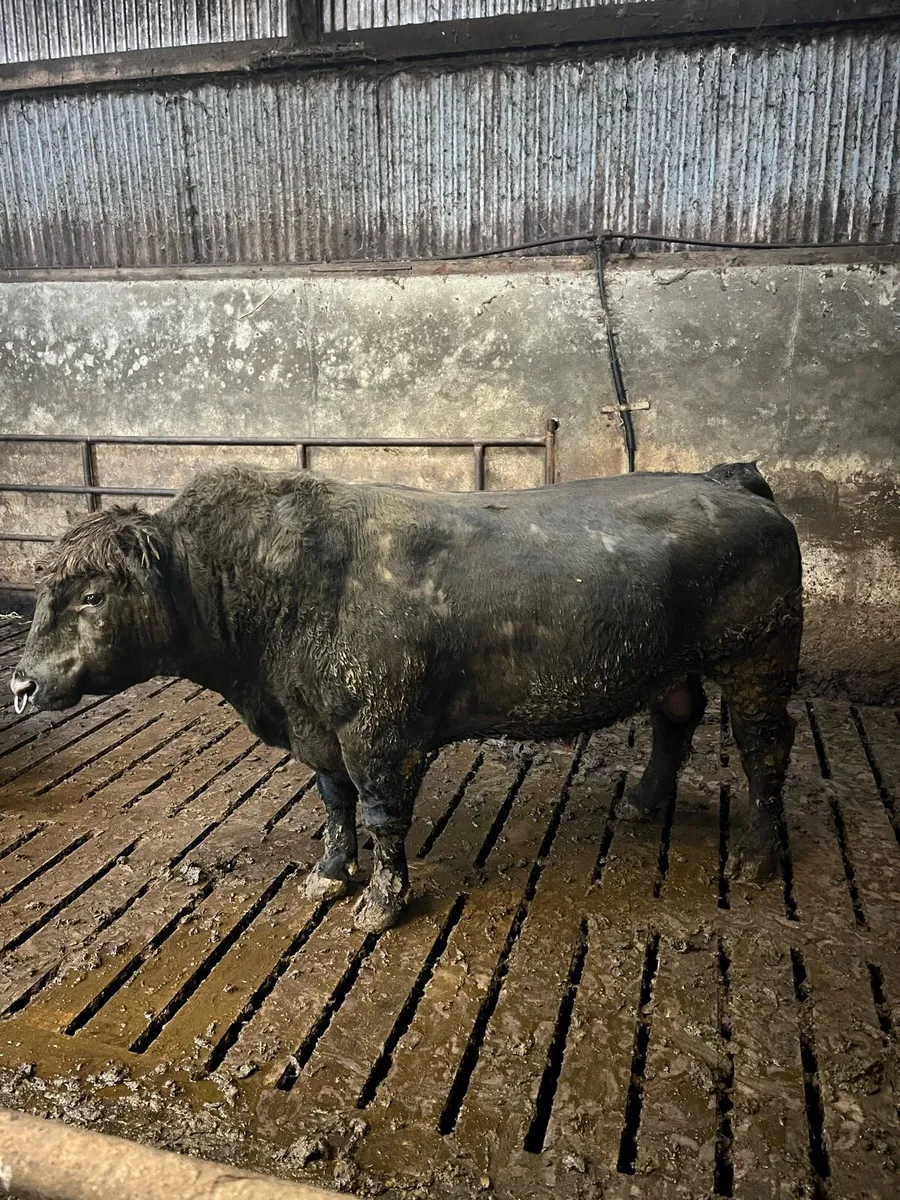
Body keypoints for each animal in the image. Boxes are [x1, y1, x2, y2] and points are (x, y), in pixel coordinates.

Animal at [10, 462, 802, 933]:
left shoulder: (381, 731)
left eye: (92, 595)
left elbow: (383, 817)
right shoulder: (319, 726)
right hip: (676, 664)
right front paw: (330, 874)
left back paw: (758, 855)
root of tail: (730, 482)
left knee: (765, 750)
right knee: (677, 719)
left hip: (758, 657)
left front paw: (381, 903)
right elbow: (334, 803)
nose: (22, 682)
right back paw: (643, 799)